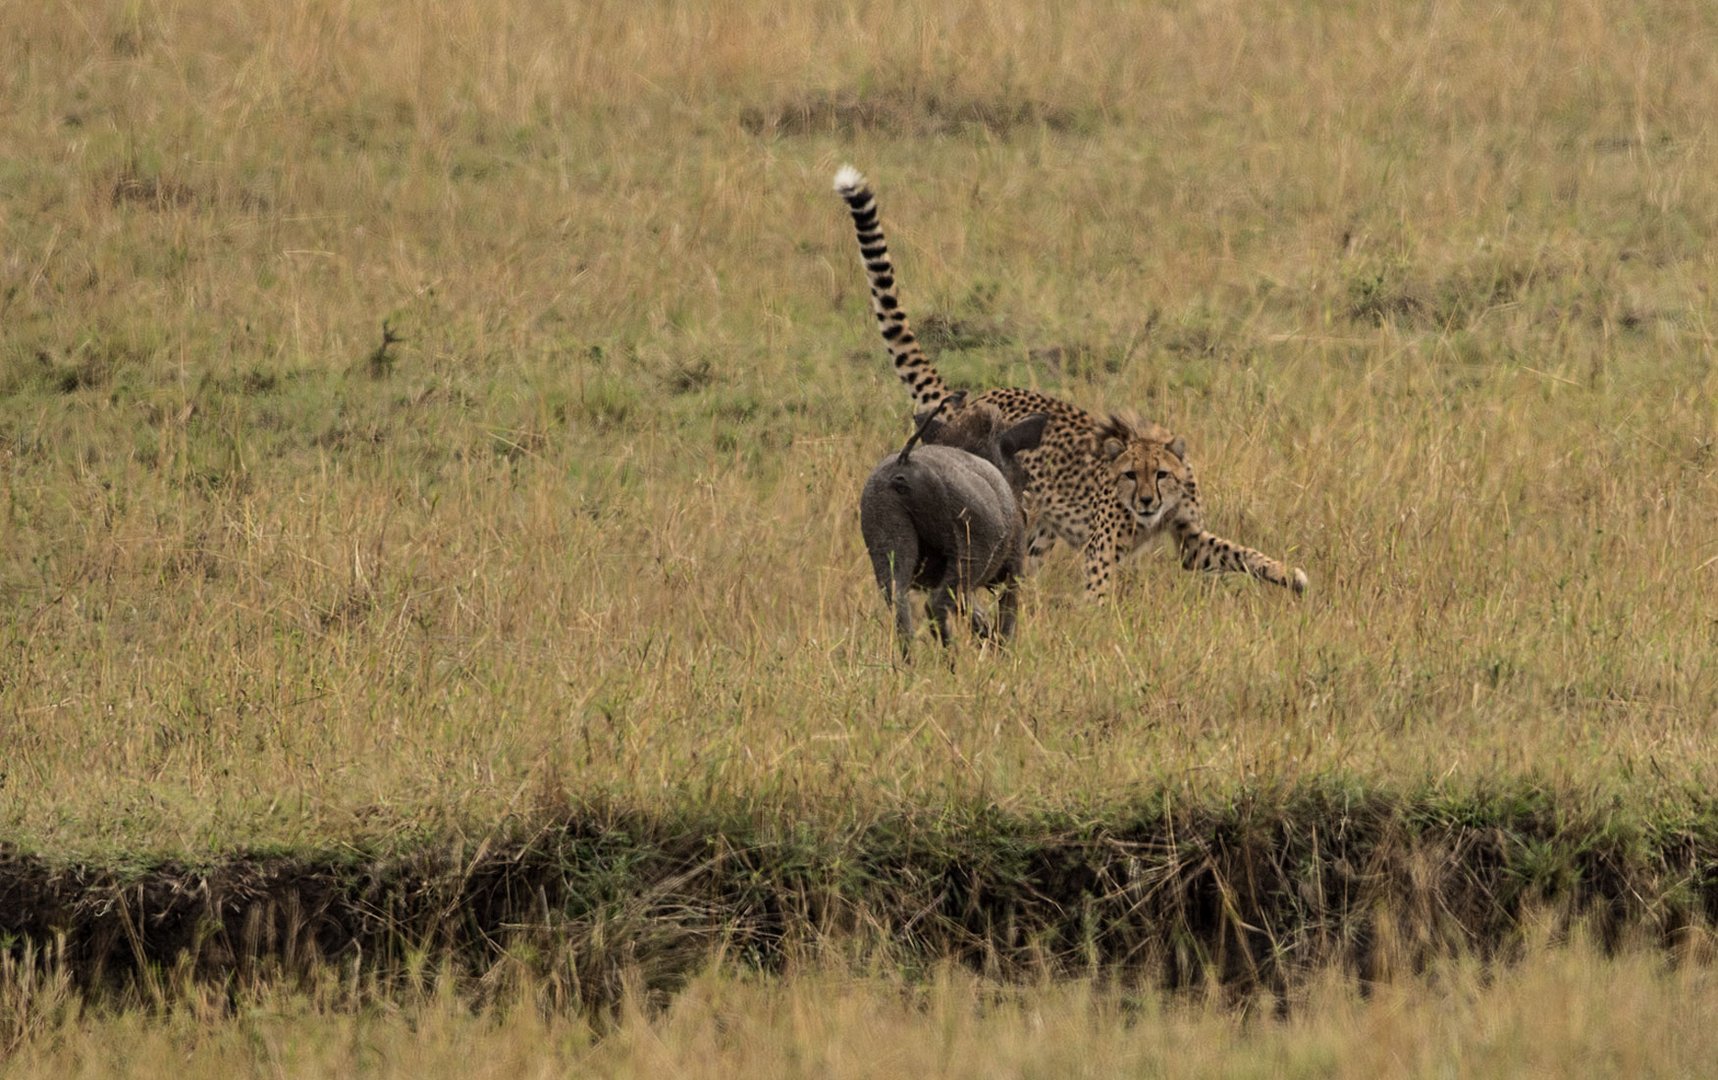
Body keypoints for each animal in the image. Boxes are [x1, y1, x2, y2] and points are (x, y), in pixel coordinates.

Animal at [828, 166, 1298, 597]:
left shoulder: (1191, 541)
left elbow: (1240, 551)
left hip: (1036, 529)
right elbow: (1100, 591)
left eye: (1162, 474)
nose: (1147, 501)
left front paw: (1288, 574)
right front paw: (1100, 622)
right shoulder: (1101, 550)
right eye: (1130, 475)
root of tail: (978, 399)